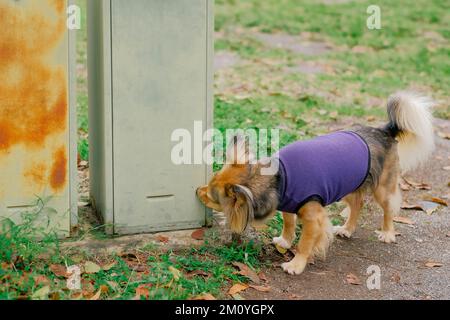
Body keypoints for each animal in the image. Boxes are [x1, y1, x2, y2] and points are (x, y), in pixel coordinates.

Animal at [195, 92, 434, 276]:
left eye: (212, 197)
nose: (197, 190)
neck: (279, 178)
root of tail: (383, 130)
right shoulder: (288, 204)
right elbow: (288, 224)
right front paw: (285, 241)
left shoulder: (313, 218)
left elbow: (304, 244)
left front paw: (296, 264)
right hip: (348, 184)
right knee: (357, 205)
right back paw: (347, 229)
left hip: (382, 189)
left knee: (388, 209)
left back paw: (387, 233)